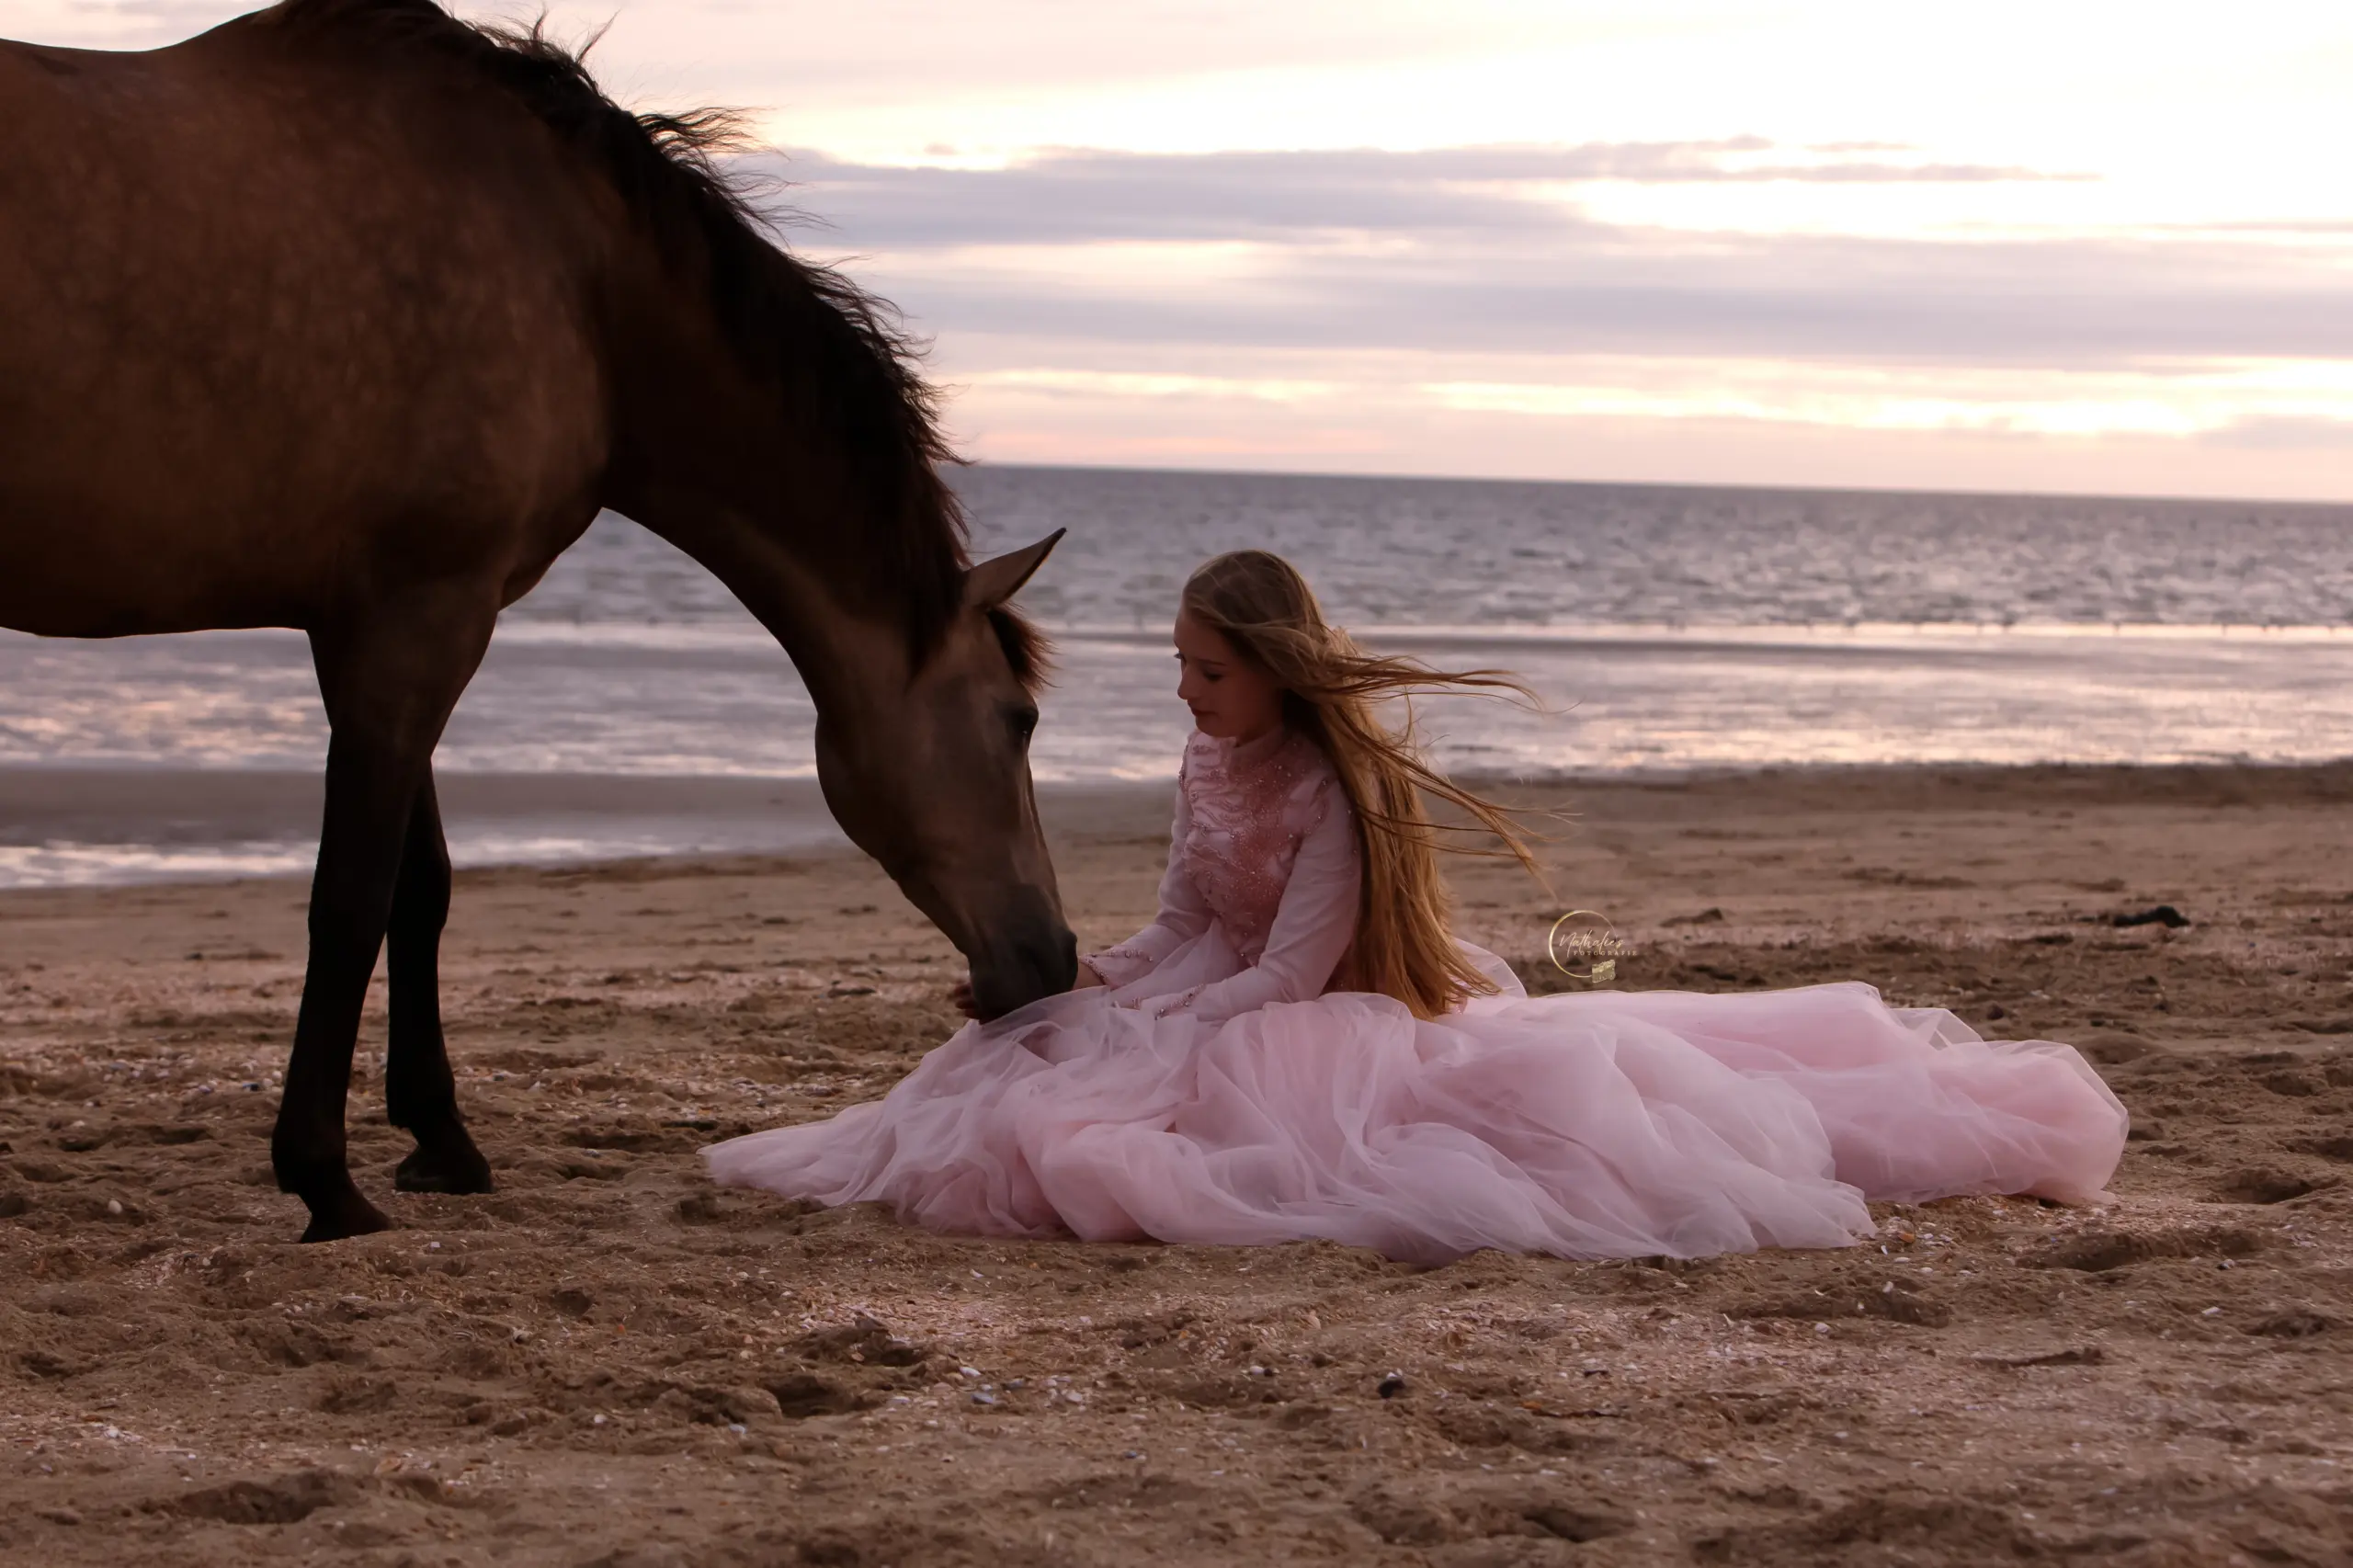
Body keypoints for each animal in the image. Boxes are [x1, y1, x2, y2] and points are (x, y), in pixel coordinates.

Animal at [0, 3, 1077, 1243]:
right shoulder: (425, 616)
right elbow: (352, 896)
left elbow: (418, 887)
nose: (1055, 957)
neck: (578, 283)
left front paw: (440, 1137)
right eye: (1018, 719)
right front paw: (326, 1178)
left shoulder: (370, 623)